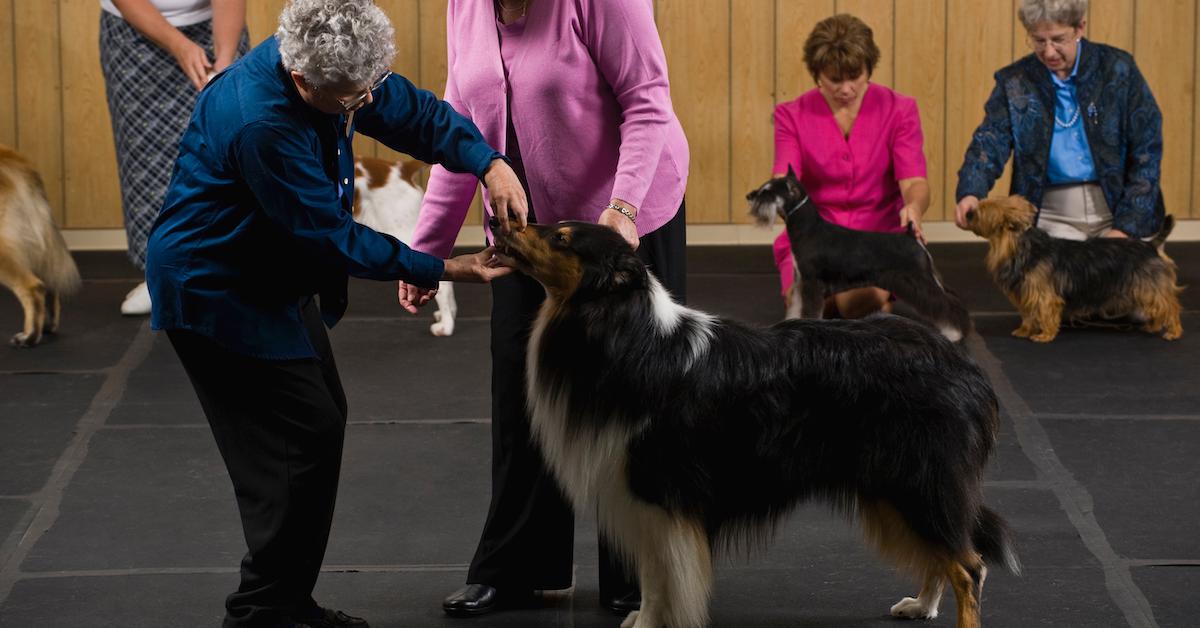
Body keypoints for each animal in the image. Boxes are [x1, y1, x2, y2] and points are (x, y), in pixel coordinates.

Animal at [964, 198, 1180, 341]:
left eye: (980, 211)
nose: (967, 212)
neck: (1019, 246)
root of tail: (1150, 245)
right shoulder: (1026, 292)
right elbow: (1028, 315)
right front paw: (1024, 331)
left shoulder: (1044, 295)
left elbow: (1045, 312)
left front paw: (1045, 335)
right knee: (1158, 308)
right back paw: (1153, 327)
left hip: (1149, 286)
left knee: (1169, 307)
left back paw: (1173, 331)